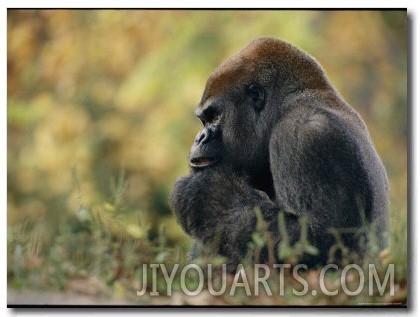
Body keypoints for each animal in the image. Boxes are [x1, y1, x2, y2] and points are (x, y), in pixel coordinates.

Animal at [169, 37, 388, 270]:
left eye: (214, 116)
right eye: (204, 120)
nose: (199, 138)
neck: (286, 106)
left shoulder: (306, 134)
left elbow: (321, 241)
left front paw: (206, 194)